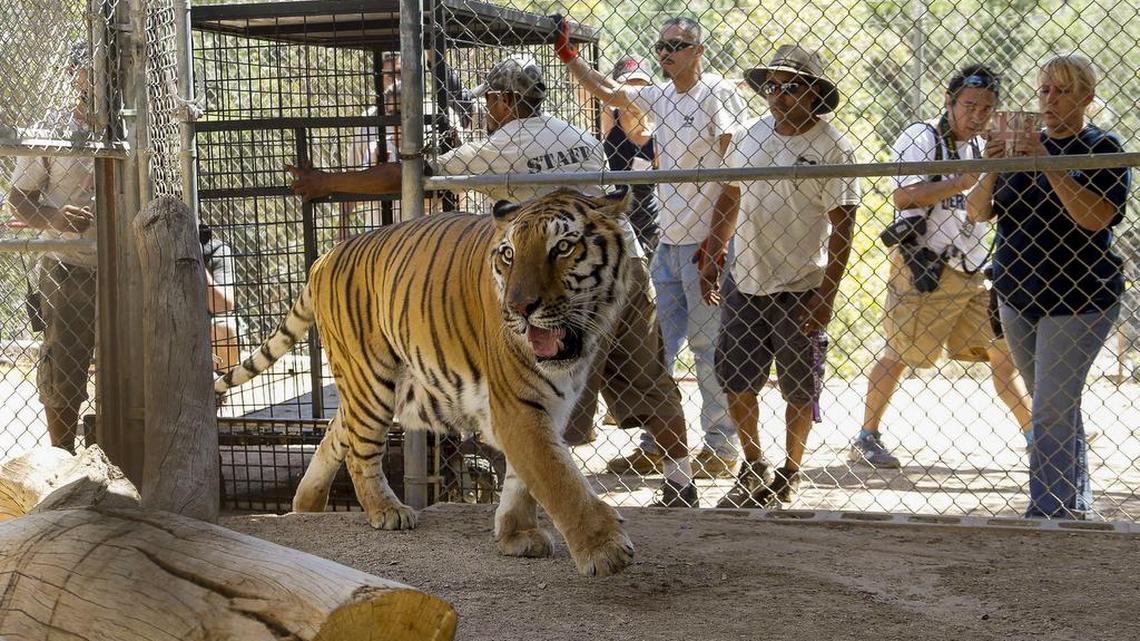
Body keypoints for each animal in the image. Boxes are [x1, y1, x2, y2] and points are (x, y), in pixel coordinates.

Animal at [215, 188, 636, 577]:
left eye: (563, 247)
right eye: (509, 255)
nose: (518, 308)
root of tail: (324, 257)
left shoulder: (552, 403)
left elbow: (526, 477)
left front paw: (516, 535)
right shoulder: (516, 405)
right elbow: (558, 477)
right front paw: (605, 550)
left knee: (334, 435)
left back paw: (307, 508)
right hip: (372, 380)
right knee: (359, 451)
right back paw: (386, 510)